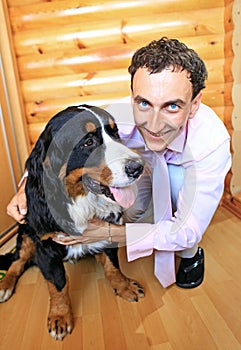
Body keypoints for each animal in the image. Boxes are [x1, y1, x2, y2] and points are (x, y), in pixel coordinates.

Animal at [0, 104, 145, 340]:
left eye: (115, 133)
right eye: (88, 142)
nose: (138, 167)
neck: (80, 199)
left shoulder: (107, 231)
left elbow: (112, 264)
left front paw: (123, 286)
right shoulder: (45, 246)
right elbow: (57, 283)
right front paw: (60, 316)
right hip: (25, 231)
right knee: (17, 261)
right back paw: (5, 284)